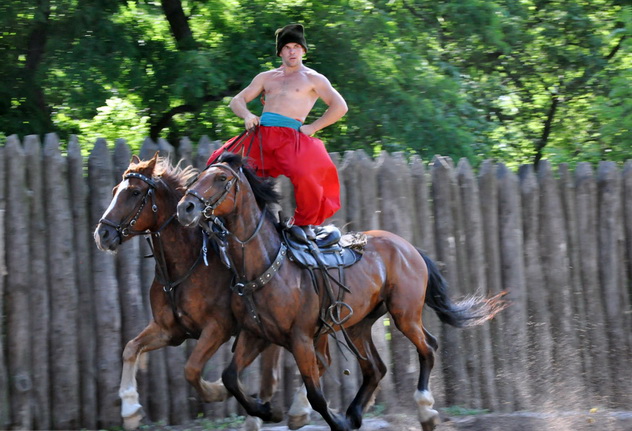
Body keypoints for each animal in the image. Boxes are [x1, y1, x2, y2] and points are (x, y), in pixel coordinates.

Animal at [94, 155, 288, 431]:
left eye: (134, 192)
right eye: (113, 191)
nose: (103, 234)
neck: (185, 264)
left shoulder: (217, 328)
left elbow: (192, 369)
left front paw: (218, 391)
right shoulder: (168, 330)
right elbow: (130, 348)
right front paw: (130, 408)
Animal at [175, 154, 506, 431]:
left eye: (221, 178)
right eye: (199, 176)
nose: (185, 207)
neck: (267, 264)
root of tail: (408, 247)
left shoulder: (300, 338)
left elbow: (316, 393)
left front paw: (329, 421)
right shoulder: (255, 334)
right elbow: (231, 378)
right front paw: (267, 411)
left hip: (404, 314)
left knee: (427, 348)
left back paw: (425, 410)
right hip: (358, 324)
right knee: (375, 368)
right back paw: (356, 413)